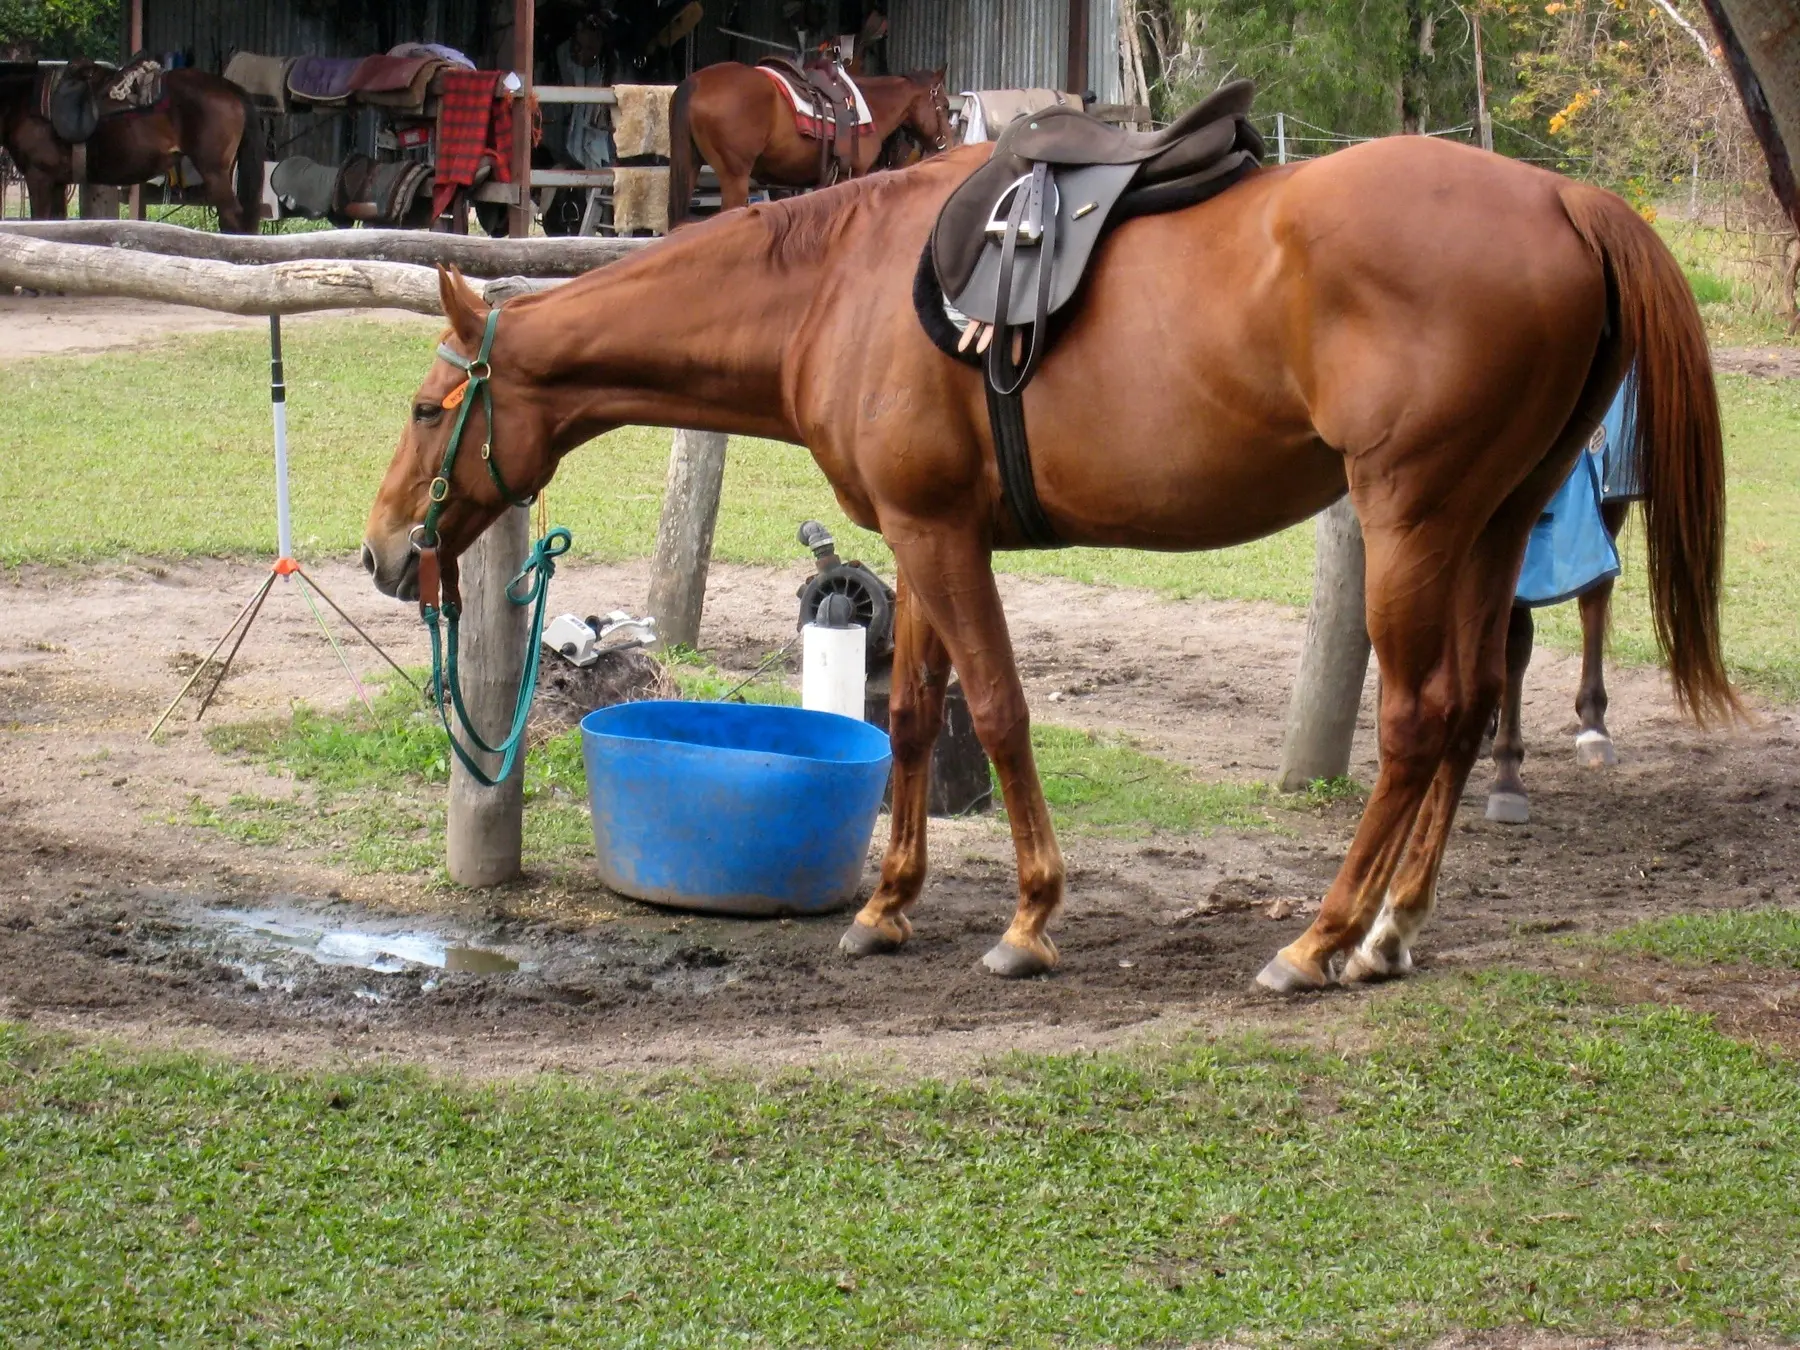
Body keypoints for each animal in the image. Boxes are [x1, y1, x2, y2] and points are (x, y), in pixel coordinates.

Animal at [0, 58, 262, 235]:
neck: (22, 101)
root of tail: (229, 87)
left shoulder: (39, 177)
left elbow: (40, 222)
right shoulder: (57, 182)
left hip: (213, 171)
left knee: (233, 220)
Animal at [361, 143, 1728, 1000]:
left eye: (429, 407)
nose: (381, 552)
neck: (838, 285)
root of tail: (1567, 201)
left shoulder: (940, 537)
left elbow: (1004, 713)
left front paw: (1029, 920)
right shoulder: (921, 536)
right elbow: (914, 718)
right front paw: (887, 907)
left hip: (1413, 517)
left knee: (1418, 718)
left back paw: (1321, 940)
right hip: (1496, 517)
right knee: (1471, 706)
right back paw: (1392, 933)